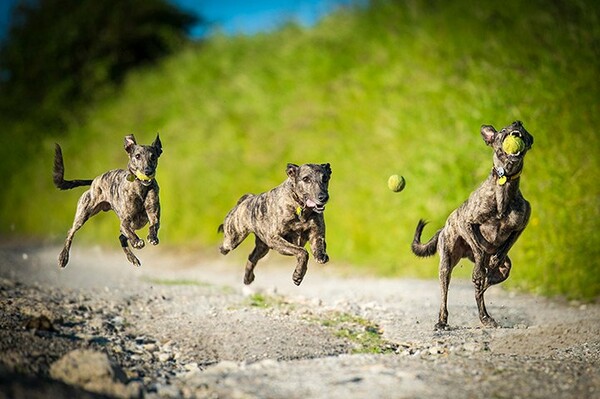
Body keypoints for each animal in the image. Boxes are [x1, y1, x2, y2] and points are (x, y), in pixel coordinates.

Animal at [53, 134, 161, 268]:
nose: (148, 171)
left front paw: (152, 237)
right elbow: (129, 232)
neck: (141, 188)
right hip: (83, 214)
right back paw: (63, 257)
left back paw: (132, 258)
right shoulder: (125, 222)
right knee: (70, 232)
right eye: (137, 156)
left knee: (121, 238)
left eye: (153, 156)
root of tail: (94, 181)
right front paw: (137, 241)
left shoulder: (153, 216)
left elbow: (154, 225)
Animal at [412, 122, 536, 332]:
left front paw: (493, 261)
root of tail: (443, 229)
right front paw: (480, 267)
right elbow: (479, 249)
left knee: (481, 290)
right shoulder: (466, 222)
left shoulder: (520, 228)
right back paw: (442, 321)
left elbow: (503, 249)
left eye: (523, 128)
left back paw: (485, 315)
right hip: (446, 264)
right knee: (446, 294)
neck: (504, 187)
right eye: (503, 131)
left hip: (504, 271)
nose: (517, 124)